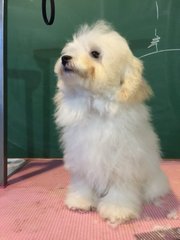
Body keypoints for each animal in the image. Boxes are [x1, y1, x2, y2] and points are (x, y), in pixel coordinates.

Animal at [54, 21, 169, 225]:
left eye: (95, 53)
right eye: (69, 51)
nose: (65, 58)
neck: (94, 106)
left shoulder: (123, 163)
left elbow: (120, 190)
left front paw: (118, 210)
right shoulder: (82, 157)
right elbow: (83, 182)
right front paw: (80, 201)